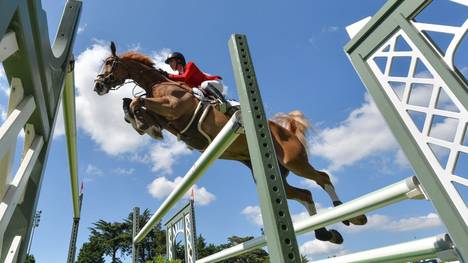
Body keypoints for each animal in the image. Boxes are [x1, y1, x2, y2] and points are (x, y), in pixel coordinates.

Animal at [93, 41, 368, 245]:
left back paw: (350, 214)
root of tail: (285, 129)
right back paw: (326, 233)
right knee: (304, 193)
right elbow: (133, 103)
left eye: (109, 63)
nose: (97, 86)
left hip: (294, 161)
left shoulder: (173, 107)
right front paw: (142, 124)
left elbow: (137, 101)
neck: (158, 84)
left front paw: (141, 122)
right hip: (271, 173)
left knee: (322, 177)